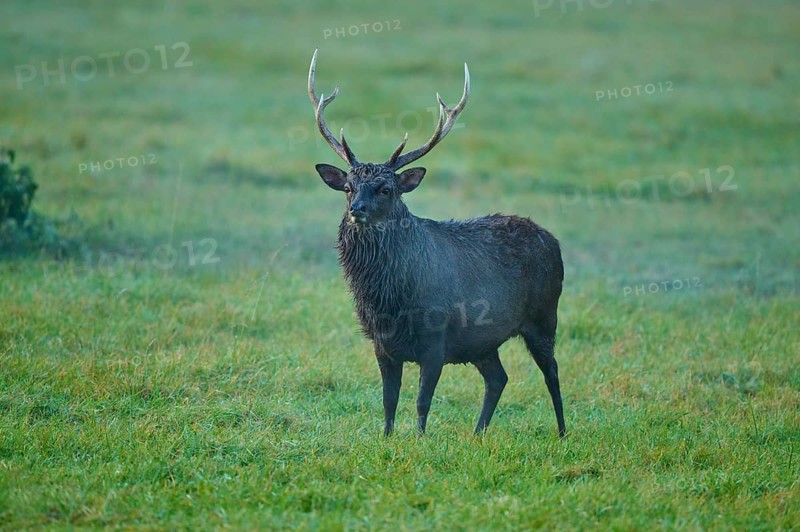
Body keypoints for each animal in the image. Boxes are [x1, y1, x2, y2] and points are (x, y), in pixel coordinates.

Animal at [308, 49, 565, 437]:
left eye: (386, 189)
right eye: (348, 187)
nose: (357, 210)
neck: (389, 298)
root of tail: (553, 240)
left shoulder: (436, 338)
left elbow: (421, 400)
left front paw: (420, 439)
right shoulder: (381, 343)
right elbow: (388, 400)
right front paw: (386, 438)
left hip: (543, 315)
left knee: (552, 373)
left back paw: (563, 432)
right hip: (483, 341)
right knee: (498, 378)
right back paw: (477, 433)